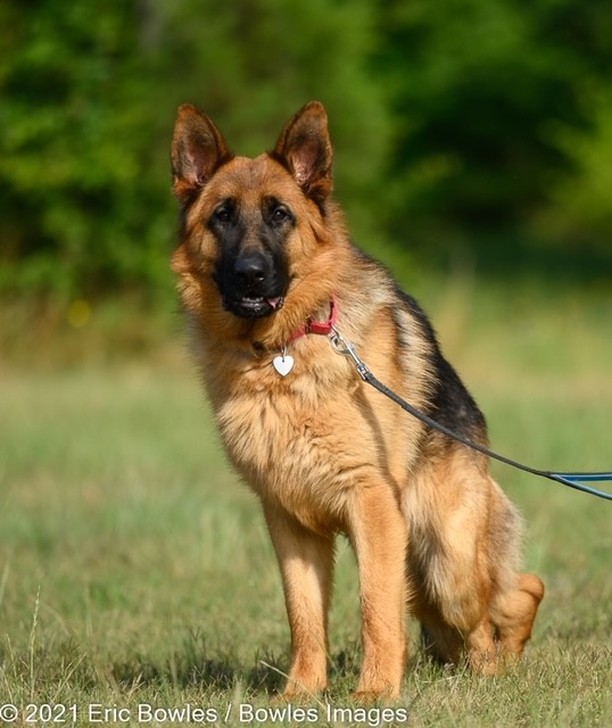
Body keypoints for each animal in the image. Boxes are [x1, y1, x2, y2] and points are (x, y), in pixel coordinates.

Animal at [170, 99, 544, 696]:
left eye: (280, 215)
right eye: (222, 216)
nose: (251, 275)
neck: (284, 349)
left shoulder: (371, 507)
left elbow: (375, 608)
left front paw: (375, 693)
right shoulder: (290, 523)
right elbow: (303, 615)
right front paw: (301, 693)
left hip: (446, 564)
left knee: (515, 594)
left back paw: (494, 670)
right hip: (431, 579)